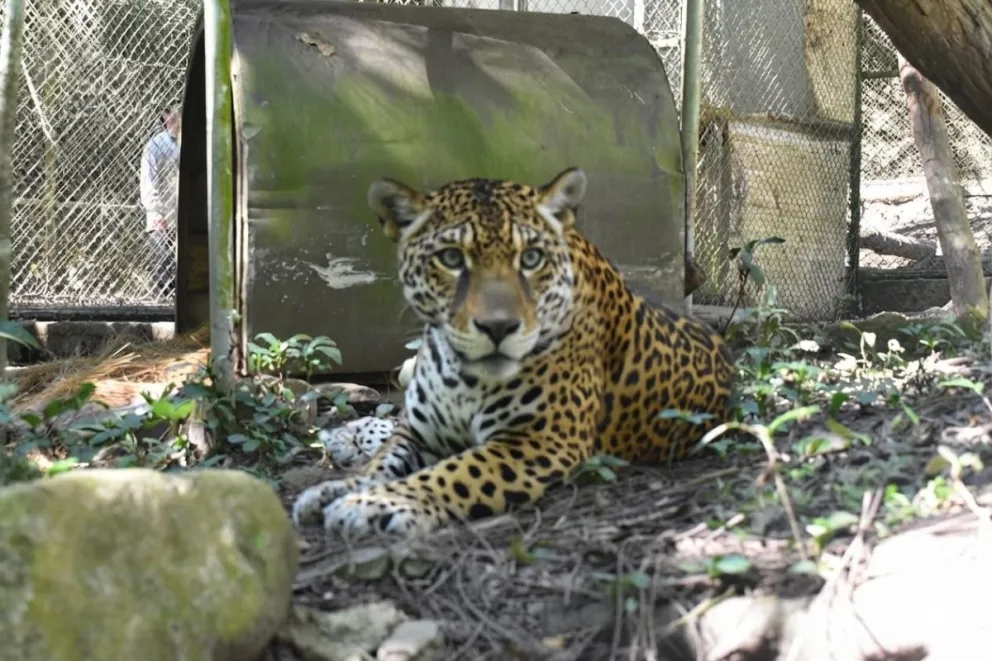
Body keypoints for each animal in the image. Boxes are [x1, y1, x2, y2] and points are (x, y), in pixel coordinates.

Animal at [292, 166, 736, 538]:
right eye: (451, 258)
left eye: (531, 258)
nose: (498, 327)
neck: (462, 374)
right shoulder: (418, 431)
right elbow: (383, 462)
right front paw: (338, 489)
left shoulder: (540, 440)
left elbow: (456, 472)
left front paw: (373, 504)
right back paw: (346, 435)